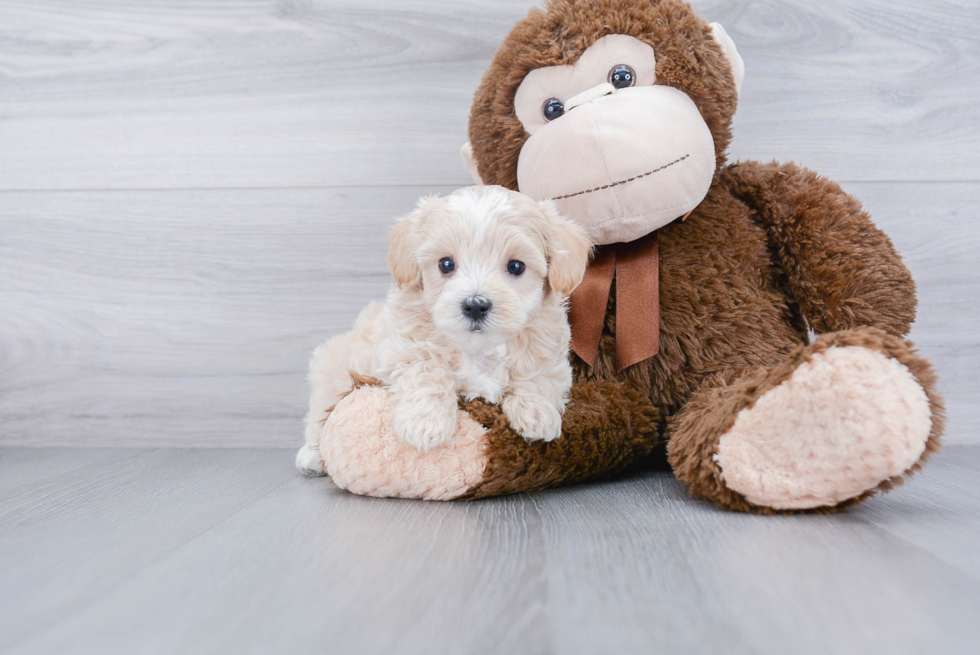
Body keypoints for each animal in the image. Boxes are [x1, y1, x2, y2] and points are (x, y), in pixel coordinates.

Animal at [296, 186, 588, 476]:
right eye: (446, 264)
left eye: (516, 266)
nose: (475, 305)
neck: (479, 348)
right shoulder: (399, 352)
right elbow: (428, 370)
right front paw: (425, 422)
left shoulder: (550, 355)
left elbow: (537, 376)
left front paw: (537, 413)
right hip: (331, 371)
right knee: (319, 415)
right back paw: (311, 456)